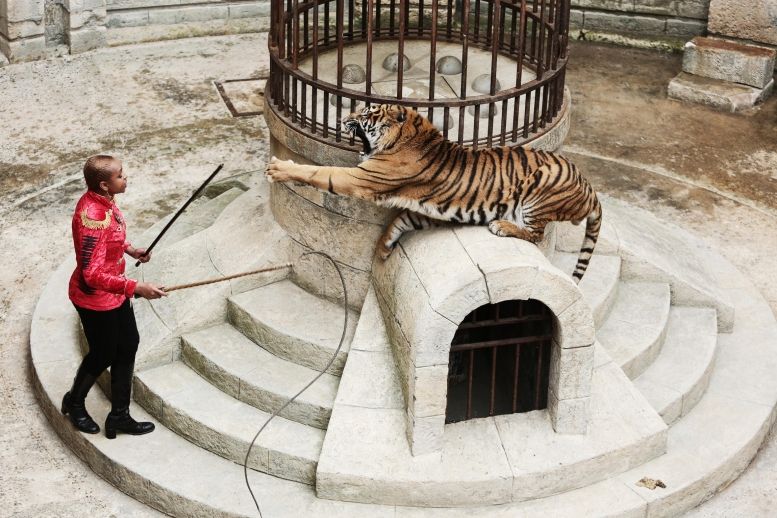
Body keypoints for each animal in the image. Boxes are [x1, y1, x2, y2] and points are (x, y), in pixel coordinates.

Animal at [266, 104, 602, 283]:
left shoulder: (363, 179)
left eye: (365, 113)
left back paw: (502, 226)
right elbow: (398, 222)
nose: (342, 118)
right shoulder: (431, 211)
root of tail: (588, 186)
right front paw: (382, 253)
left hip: (540, 190)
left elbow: (321, 173)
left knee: (537, 234)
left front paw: (278, 169)